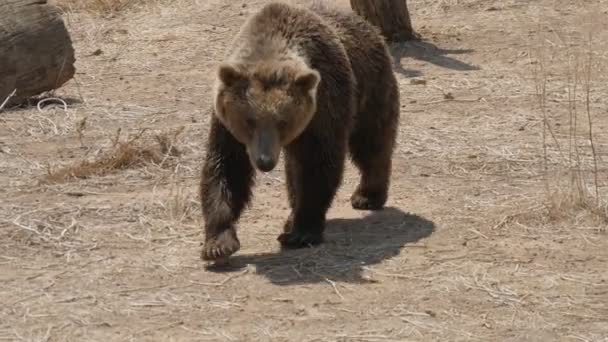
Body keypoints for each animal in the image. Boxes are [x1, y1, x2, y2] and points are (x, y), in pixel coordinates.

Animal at [198, 1, 400, 262]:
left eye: (282, 121)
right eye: (249, 121)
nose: (264, 161)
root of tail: (372, 30)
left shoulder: (324, 106)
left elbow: (318, 164)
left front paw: (302, 232)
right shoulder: (226, 124)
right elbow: (226, 167)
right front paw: (218, 243)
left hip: (370, 89)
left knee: (371, 143)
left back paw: (367, 195)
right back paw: (290, 217)